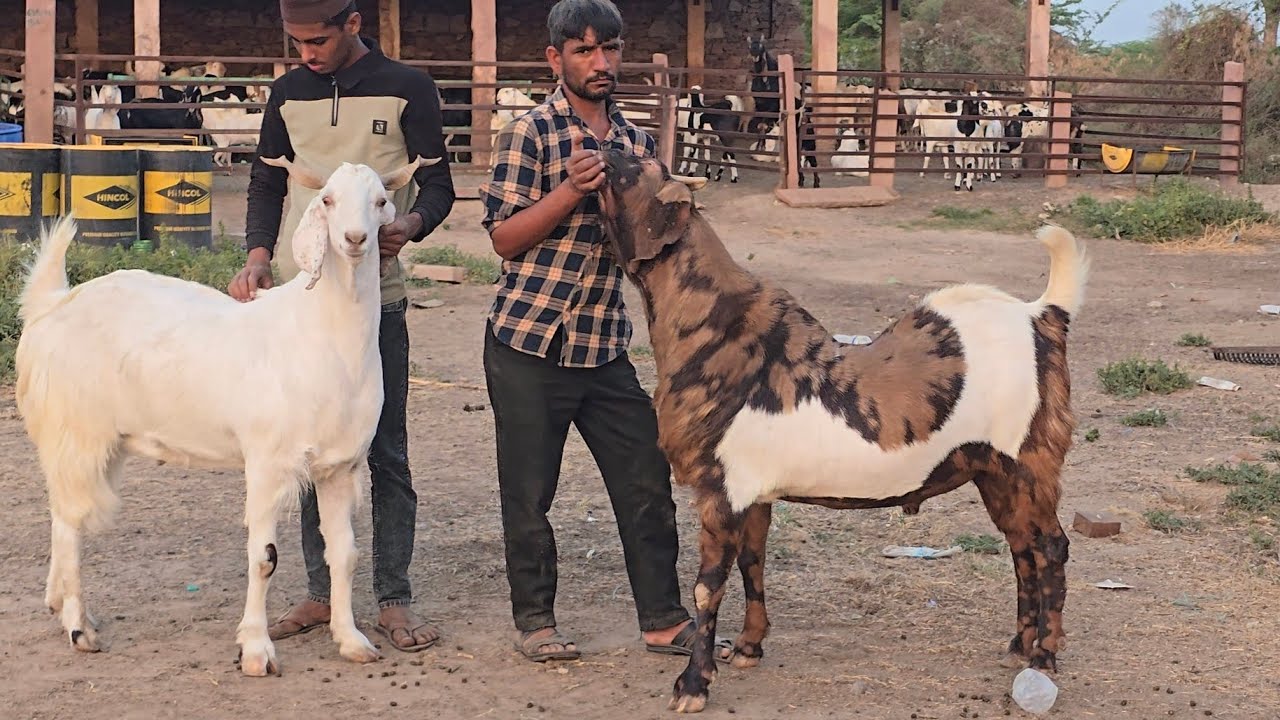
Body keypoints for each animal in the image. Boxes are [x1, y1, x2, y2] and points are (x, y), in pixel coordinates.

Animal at [15, 154, 438, 677]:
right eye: (327, 200)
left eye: (381, 201)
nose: (355, 239)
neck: (320, 333)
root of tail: (51, 306)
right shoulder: (267, 463)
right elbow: (264, 558)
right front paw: (256, 651)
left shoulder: (338, 466)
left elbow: (345, 554)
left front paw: (351, 640)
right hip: (78, 432)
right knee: (72, 522)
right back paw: (79, 627)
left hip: (99, 441)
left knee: (61, 510)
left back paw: (60, 604)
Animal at [596, 149, 1088, 714]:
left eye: (631, 171)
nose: (602, 149)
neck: (717, 334)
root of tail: (1043, 315)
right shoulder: (754, 492)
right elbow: (753, 562)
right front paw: (748, 648)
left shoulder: (722, 489)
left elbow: (708, 585)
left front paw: (694, 685)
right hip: (995, 472)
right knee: (1022, 547)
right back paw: (1019, 645)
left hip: (1029, 460)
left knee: (1050, 548)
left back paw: (1044, 658)